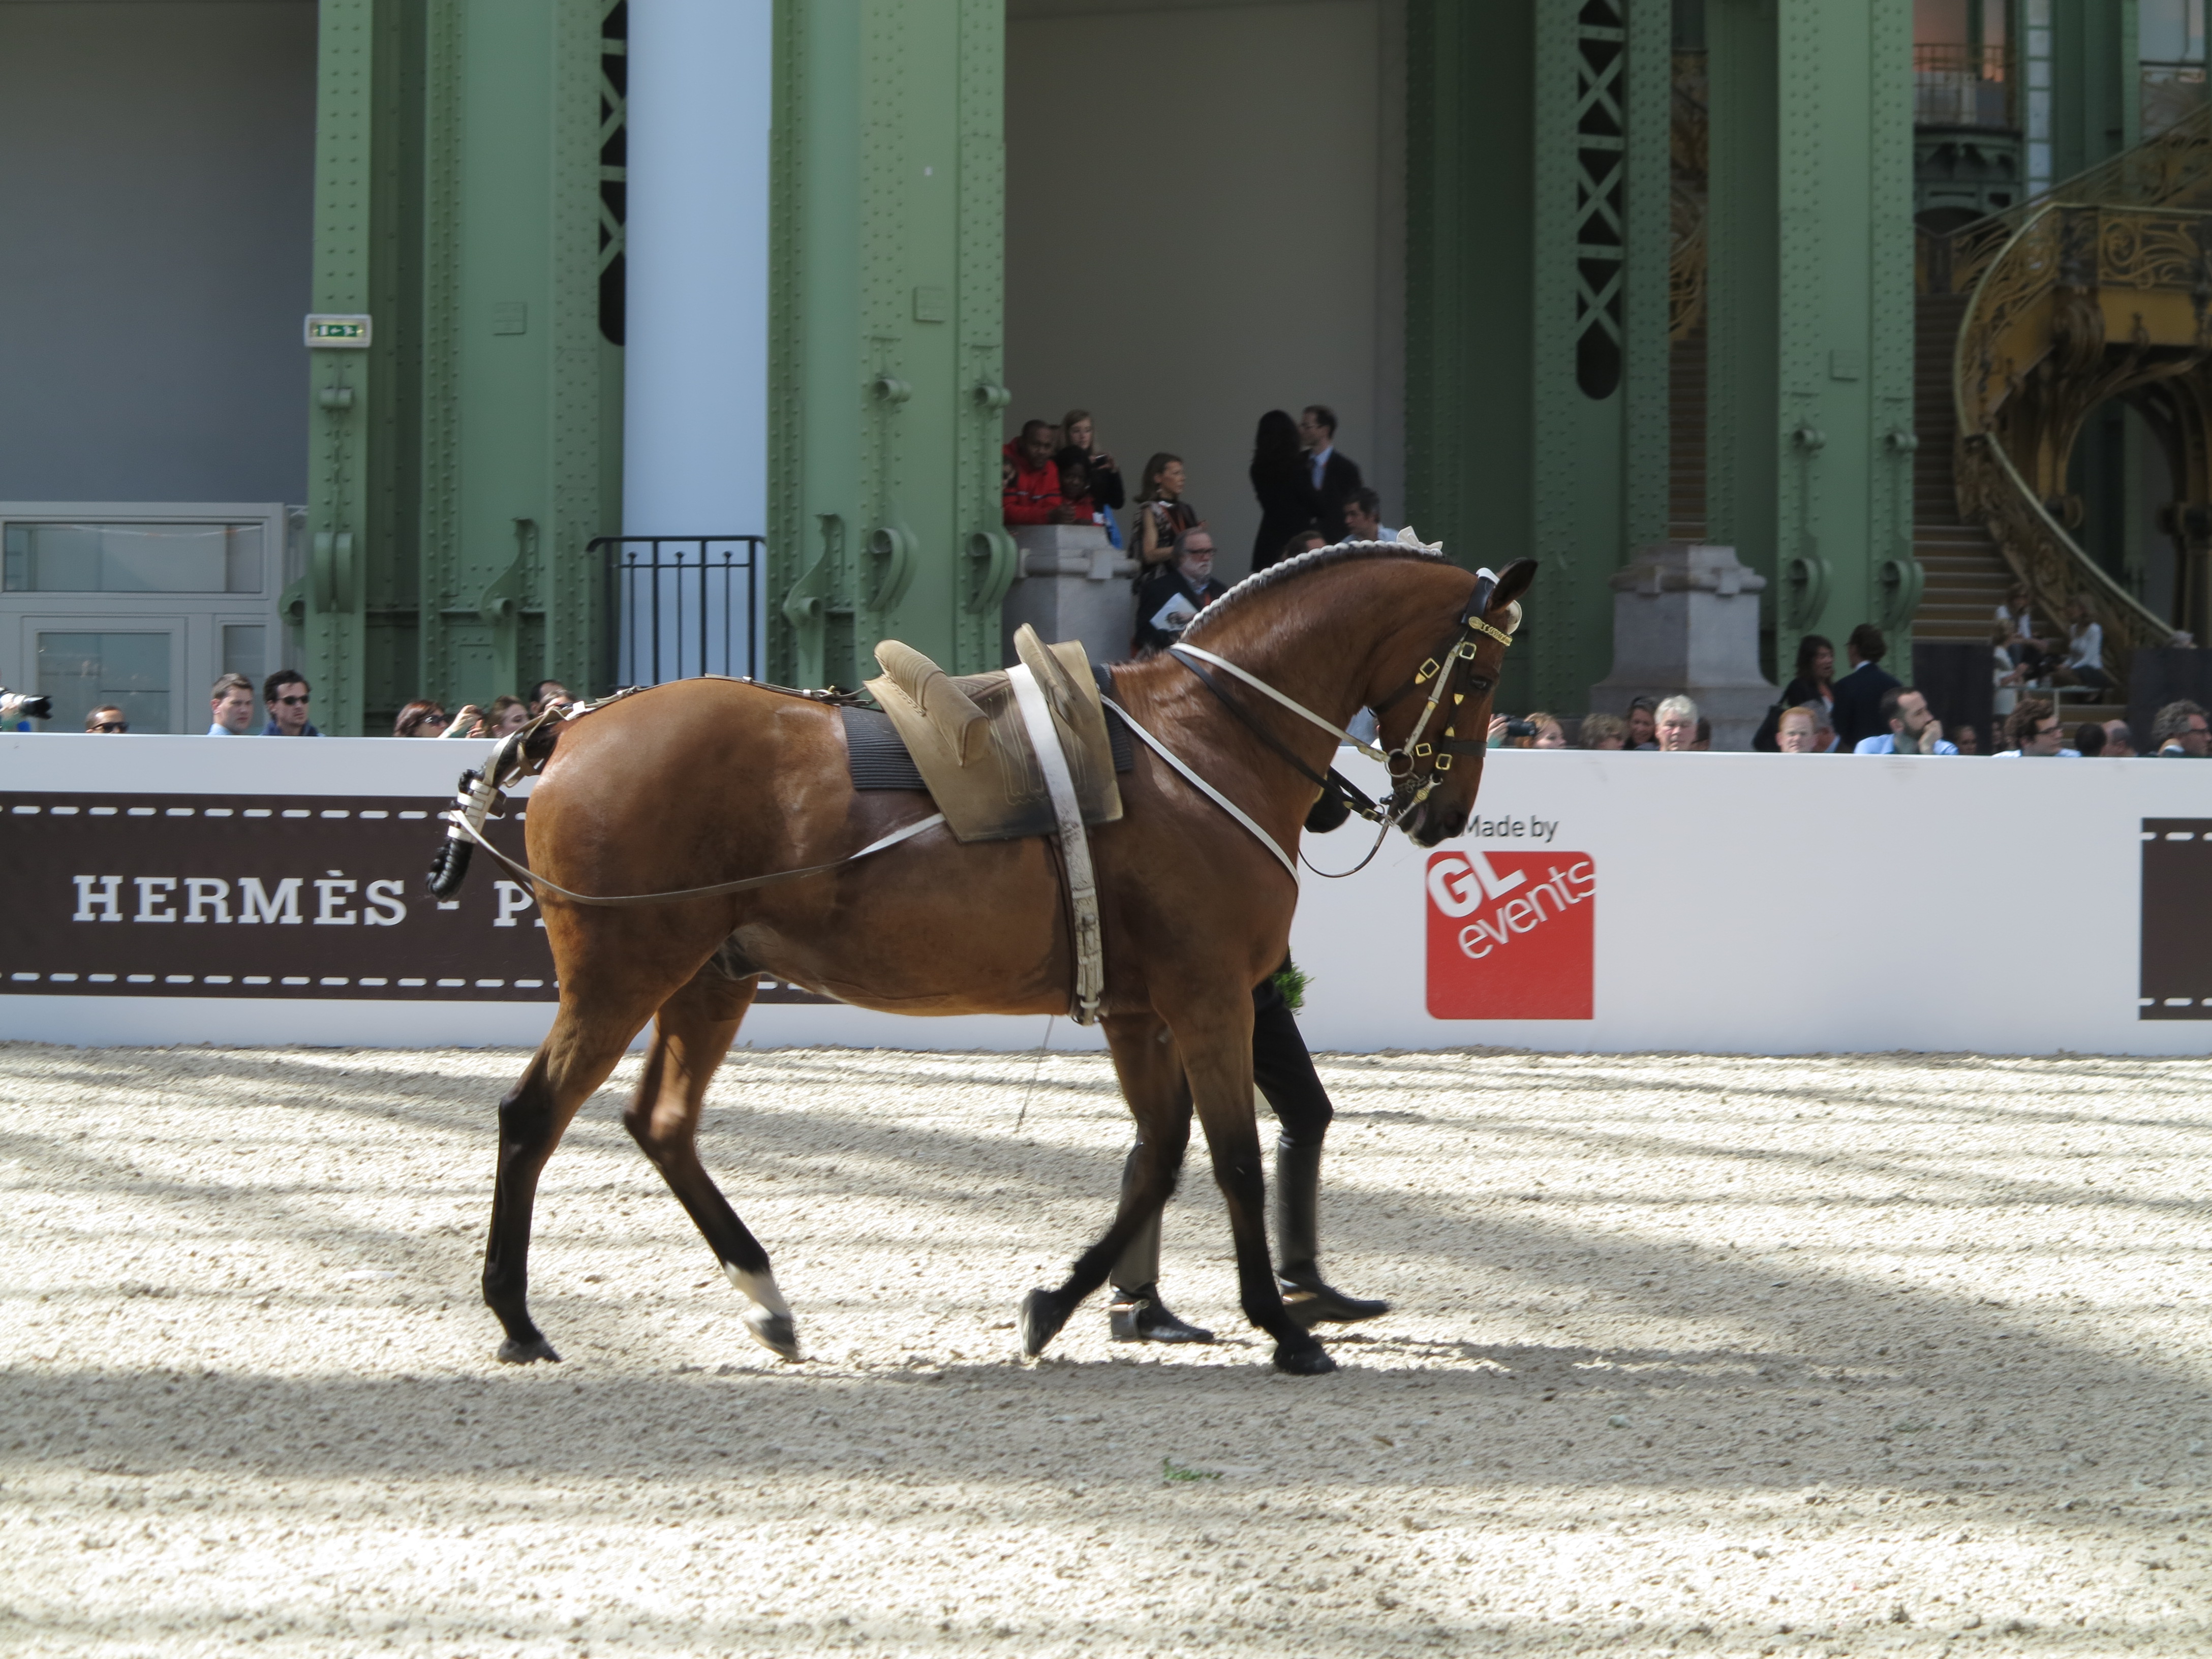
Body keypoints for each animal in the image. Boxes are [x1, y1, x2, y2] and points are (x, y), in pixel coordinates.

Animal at [440, 546, 1530, 1380]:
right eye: (1478, 676)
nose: (1445, 813)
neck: (1201, 737)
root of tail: (573, 724)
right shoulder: (1211, 998)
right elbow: (1228, 1157)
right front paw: (1280, 1323)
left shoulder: (1140, 1011)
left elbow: (1160, 1156)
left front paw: (1059, 1301)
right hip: (625, 975)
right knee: (532, 1116)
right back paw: (517, 1316)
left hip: (712, 977)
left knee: (661, 1123)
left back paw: (764, 1292)